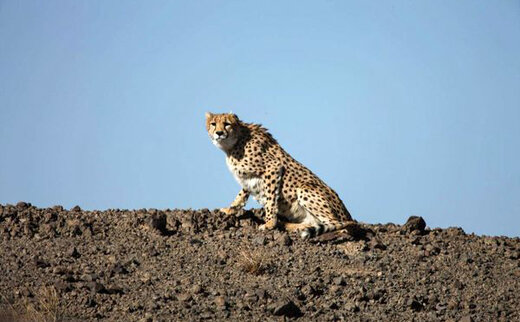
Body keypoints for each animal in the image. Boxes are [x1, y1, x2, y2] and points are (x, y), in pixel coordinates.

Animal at [205, 112, 356, 238]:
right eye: (213, 124)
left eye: (227, 124)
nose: (219, 133)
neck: (234, 142)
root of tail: (348, 216)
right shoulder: (248, 178)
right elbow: (241, 195)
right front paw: (229, 209)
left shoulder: (273, 168)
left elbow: (270, 198)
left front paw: (269, 223)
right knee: (317, 223)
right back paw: (292, 226)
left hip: (305, 189)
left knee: (338, 226)